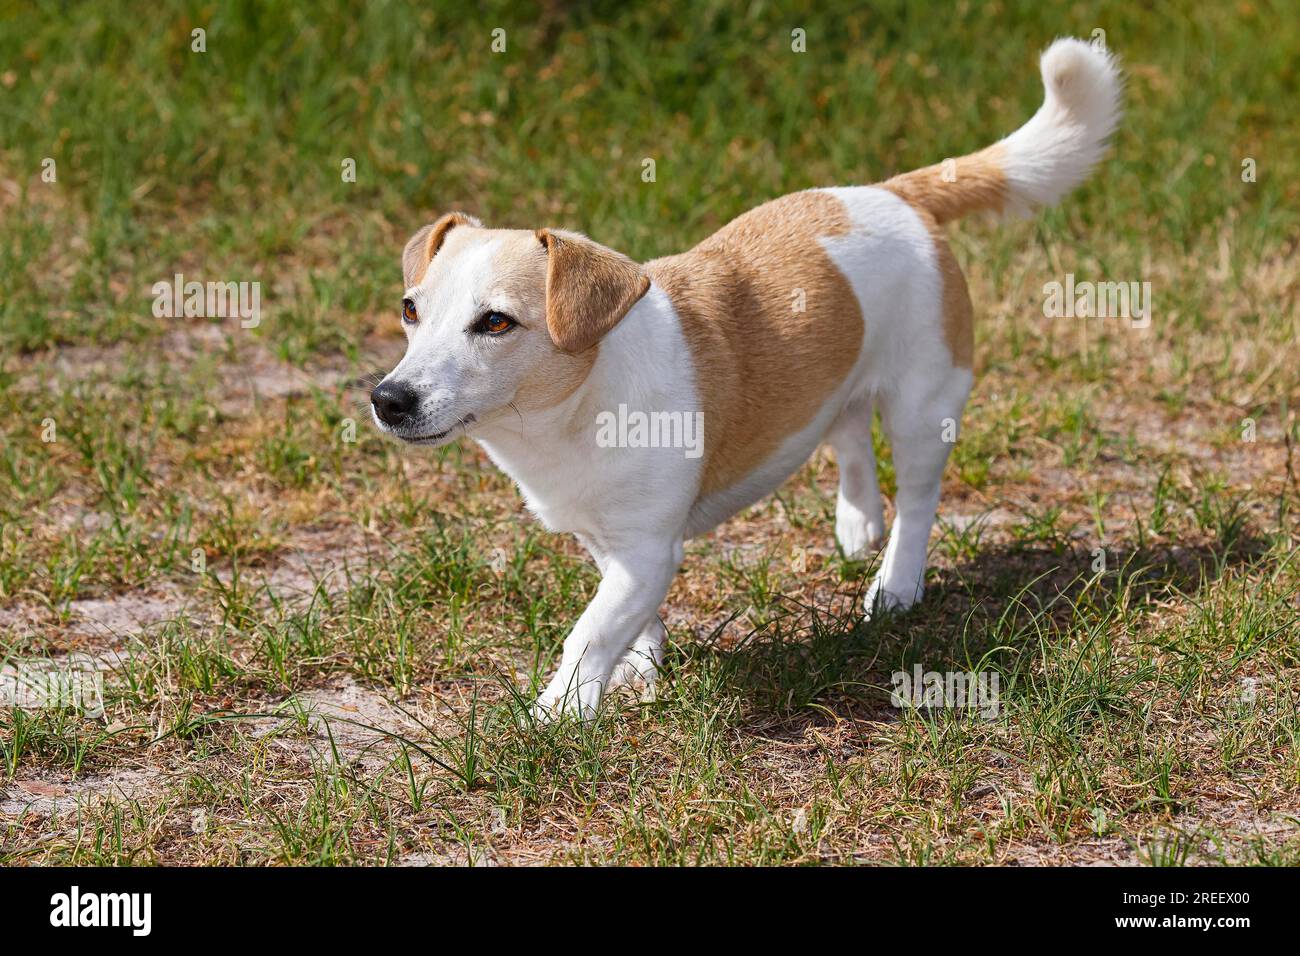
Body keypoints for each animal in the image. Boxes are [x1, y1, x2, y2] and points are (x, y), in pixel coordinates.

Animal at [371, 41, 1123, 723]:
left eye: (495, 322)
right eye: (410, 310)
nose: (387, 400)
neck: (574, 409)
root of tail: (895, 192)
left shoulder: (647, 548)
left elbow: (589, 633)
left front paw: (557, 715)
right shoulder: (607, 541)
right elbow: (625, 616)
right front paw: (640, 661)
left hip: (923, 403)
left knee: (917, 497)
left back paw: (895, 584)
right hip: (839, 381)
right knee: (849, 432)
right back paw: (857, 523)